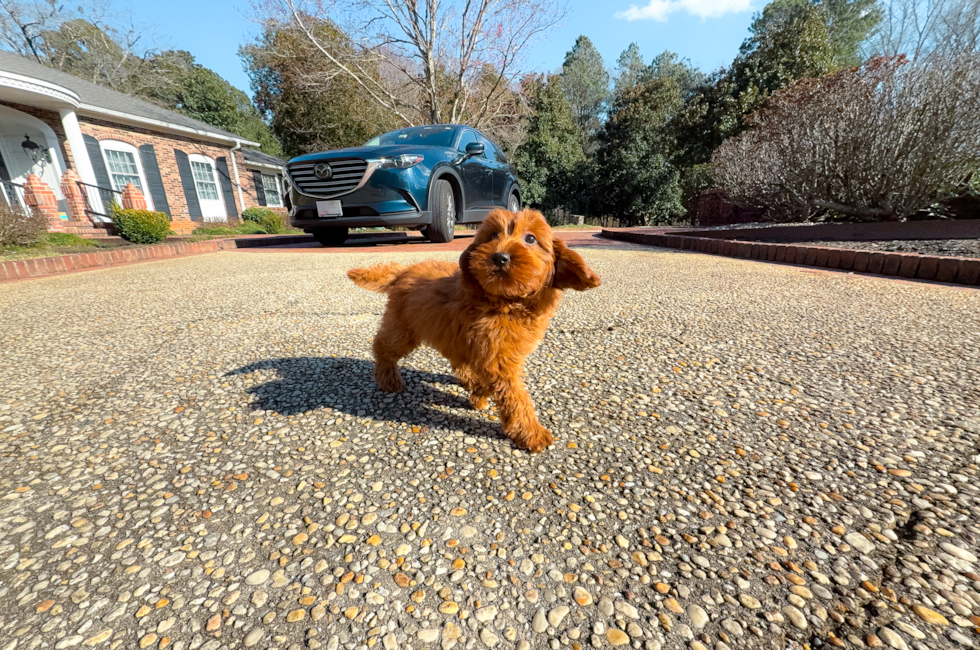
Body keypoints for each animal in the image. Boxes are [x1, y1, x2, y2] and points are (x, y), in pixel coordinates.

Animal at [348, 209, 600, 450]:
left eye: (531, 238)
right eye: (493, 236)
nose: (499, 257)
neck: (505, 302)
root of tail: (403, 270)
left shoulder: (488, 348)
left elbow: (489, 378)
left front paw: (478, 394)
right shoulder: (497, 357)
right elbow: (515, 396)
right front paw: (531, 433)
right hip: (404, 328)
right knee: (383, 346)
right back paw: (388, 379)